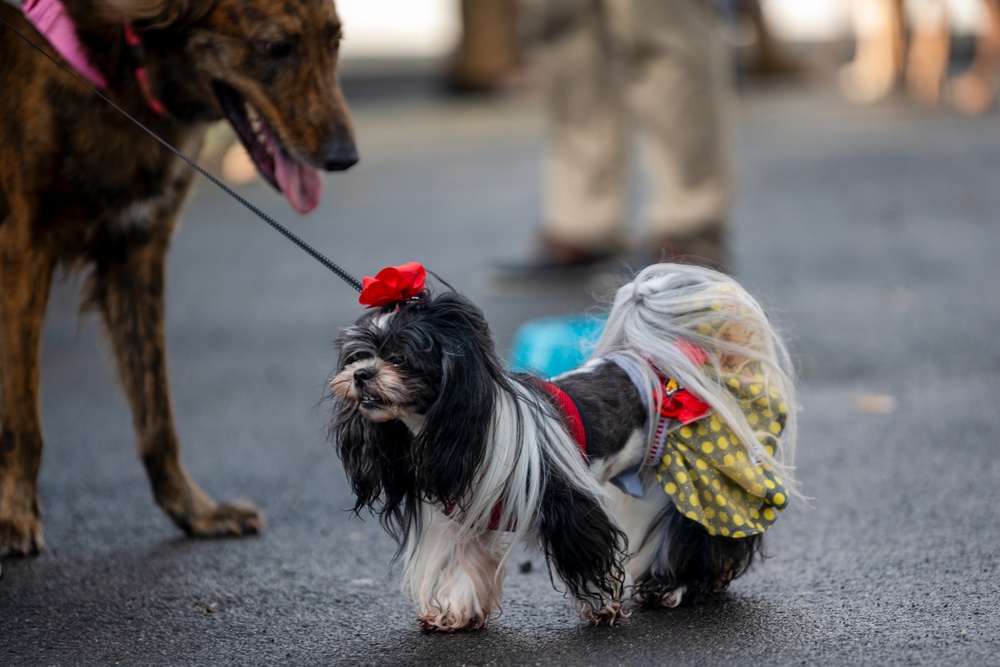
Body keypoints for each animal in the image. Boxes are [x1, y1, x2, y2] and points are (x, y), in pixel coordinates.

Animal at [0, 0, 360, 556]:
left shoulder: (136, 250)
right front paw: (14, 513)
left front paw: (194, 511)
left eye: (336, 43)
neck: (117, 62)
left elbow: (157, 412)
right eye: (277, 48)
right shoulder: (22, 246)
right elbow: (22, 415)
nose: (345, 158)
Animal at [332, 260, 800, 632]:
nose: (361, 375)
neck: (468, 425)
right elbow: (460, 566)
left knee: (696, 532)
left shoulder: (568, 500)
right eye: (357, 356)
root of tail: (664, 363)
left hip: (695, 478)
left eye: (400, 358)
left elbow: (587, 555)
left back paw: (677, 586)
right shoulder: (462, 515)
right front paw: (455, 615)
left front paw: (602, 610)